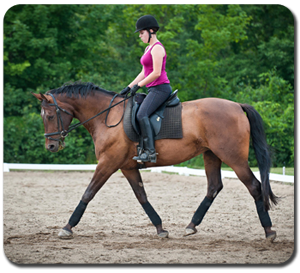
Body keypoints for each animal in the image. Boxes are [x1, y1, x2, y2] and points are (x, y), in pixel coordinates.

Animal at [31, 81, 278, 240]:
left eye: (50, 116)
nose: (51, 146)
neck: (107, 117)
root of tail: (237, 106)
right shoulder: (127, 166)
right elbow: (142, 196)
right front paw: (160, 229)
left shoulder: (108, 163)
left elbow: (88, 193)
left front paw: (67, 227)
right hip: (211, 155)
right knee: (214, 187)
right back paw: (191, 226)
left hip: (233, 157)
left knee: (254, 186)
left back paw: (269, 232)